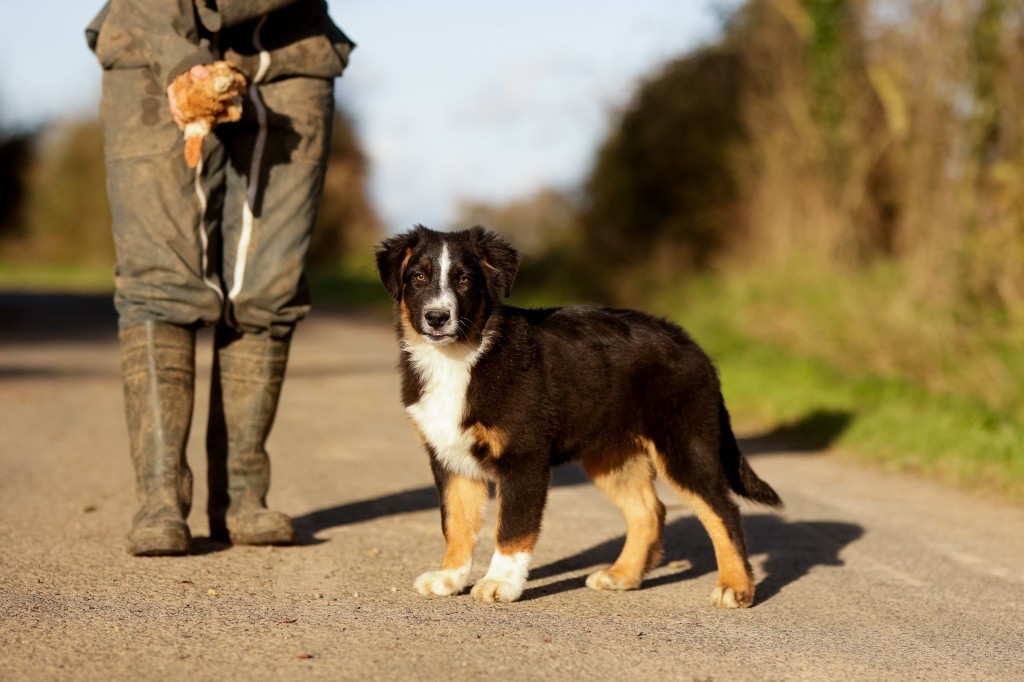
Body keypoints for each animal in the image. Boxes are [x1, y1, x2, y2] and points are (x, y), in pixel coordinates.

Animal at [376, 223, 782, 606]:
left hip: (686, 446)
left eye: (464, 279)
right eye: (418, 277)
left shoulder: (524, 458)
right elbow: (456, 523)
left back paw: (735, 588)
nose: (437, 317)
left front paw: (500, 583)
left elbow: (512, 528)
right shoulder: (449, 457)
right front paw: (449, 578)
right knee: (649, 512)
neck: (461, 356)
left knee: (724, 512)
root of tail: (694, 347)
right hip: (613, 456)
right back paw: (622, 575)